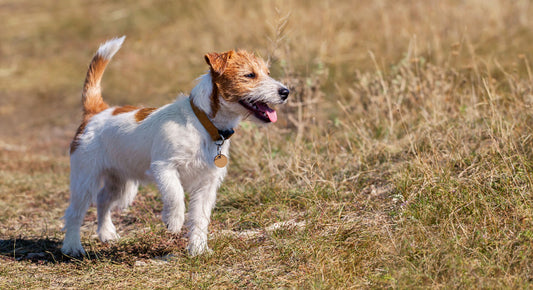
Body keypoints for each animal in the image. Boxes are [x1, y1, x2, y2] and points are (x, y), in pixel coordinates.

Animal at [61, 36, 290, 256]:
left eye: (268, 73)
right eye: (249, 75)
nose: (285, 92)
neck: (203, 123)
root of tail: (97, 111)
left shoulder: (207, 184)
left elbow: (200, 218)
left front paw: (198, 249)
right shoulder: (164, 168)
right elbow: (176, 194)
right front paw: (174, 221)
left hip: (121, 185)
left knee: (103, 200)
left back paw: (106, 233)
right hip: (85, 179)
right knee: (74, 212)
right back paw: (72, 246)